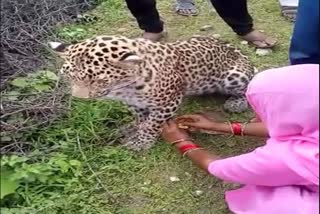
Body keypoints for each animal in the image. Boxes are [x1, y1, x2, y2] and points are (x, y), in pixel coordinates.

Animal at [48, 35, 256, 151]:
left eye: (98, 81)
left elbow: (151, 124)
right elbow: (141, 119)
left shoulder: (168, 101)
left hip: (234, 76)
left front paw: (142, 142)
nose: (79, 98)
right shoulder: (133, 103)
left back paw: (236, 102)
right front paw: (135, 129)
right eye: (69, 76)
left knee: (247, 87)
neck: (125, 87)